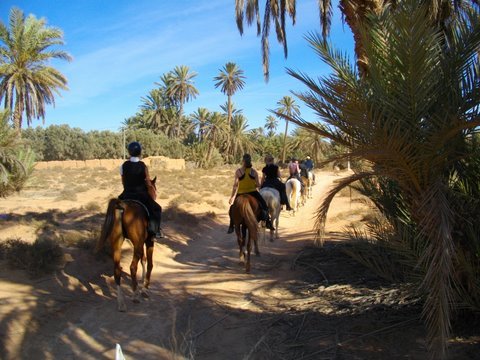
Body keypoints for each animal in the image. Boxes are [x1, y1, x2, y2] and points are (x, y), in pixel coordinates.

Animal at [95, 179, 158, 310]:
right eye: (154, 188)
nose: (155, 195)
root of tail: (121, 206)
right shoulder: (148, 241)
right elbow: (150, 263)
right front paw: (145, 288)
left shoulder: (140, 243)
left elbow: (143, 259)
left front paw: (141, 283)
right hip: (138, 243)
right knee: (132, 267)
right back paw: (134, 296)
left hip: (117, 243)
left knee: (117, 269)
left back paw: (121, 302)